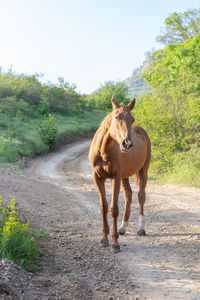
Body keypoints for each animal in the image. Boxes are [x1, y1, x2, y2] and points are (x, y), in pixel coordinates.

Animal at [88, 96, 151, 253]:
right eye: (117, 117)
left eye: (132, 119)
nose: (127, 144)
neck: (103, 150)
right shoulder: (98, 178)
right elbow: (103, 206)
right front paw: (104, 239)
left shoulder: (114, 178)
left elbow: (114, 209)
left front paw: (115, 243)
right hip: (125, 176)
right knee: (129, 195)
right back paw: (123, 228)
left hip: (143, 171)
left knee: (141, 196)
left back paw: (141, 229)